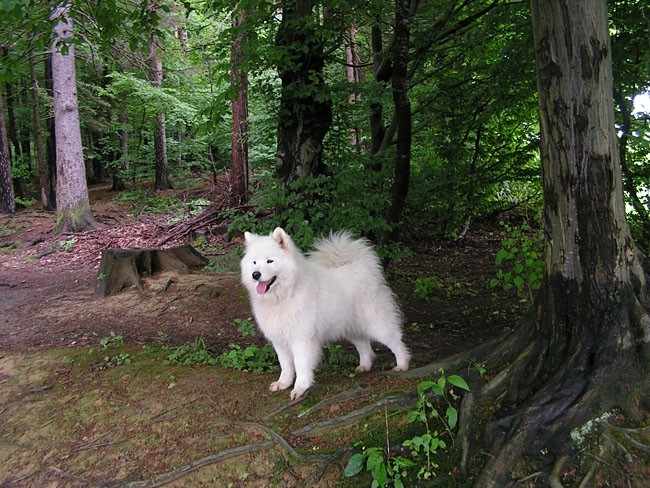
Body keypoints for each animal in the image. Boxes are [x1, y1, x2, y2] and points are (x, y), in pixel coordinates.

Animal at [240, 228, 408, 400]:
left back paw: (402, 364)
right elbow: (285, 365)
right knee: (364, 345)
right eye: (254, 262)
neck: (285, 295)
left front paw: (300, 388)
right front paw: (283, 383)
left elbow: (300, 365)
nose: (255, 274)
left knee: (396, 341)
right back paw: (364, 366)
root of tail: (363, 266)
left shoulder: (302, 339)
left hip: (376, 323)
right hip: (351, 327)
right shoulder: (279, 340)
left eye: (270, 261)